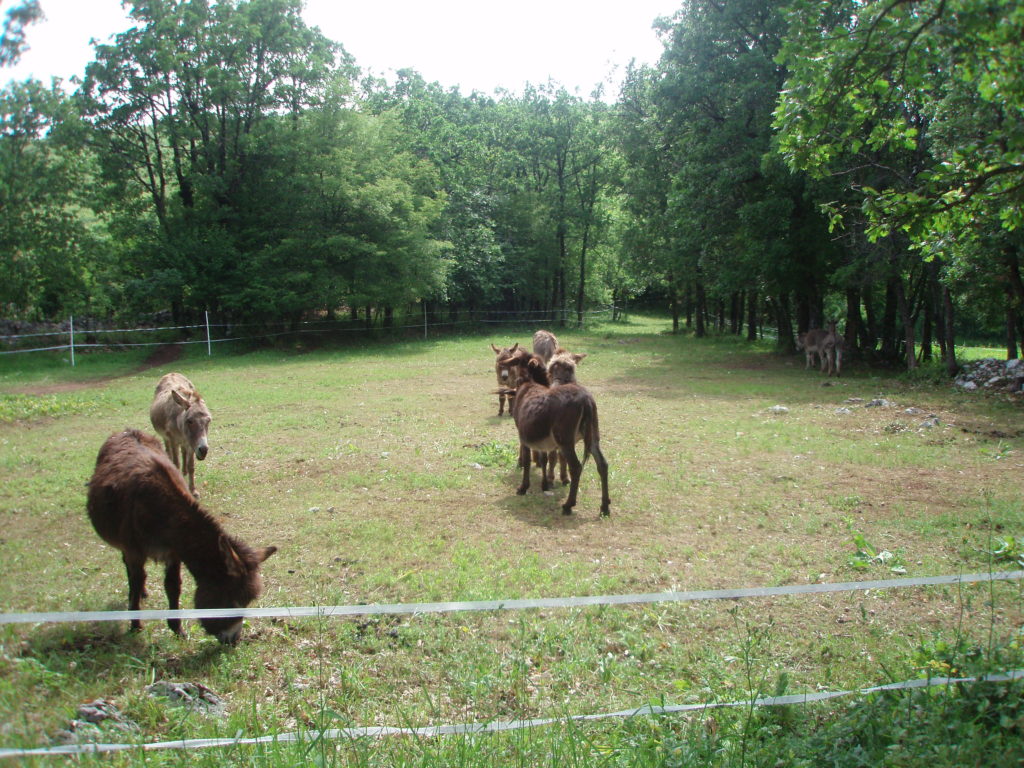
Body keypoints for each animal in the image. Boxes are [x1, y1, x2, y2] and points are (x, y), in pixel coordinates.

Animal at [87, 429, 276, 644]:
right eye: (233, 600)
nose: (233, 641)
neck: (161, 511)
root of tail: (126, 431)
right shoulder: (135, 551)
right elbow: (135, 582)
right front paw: (135, 625)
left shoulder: (174, 552)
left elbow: (173, 586)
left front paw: (177, 629)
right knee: (131, 571)